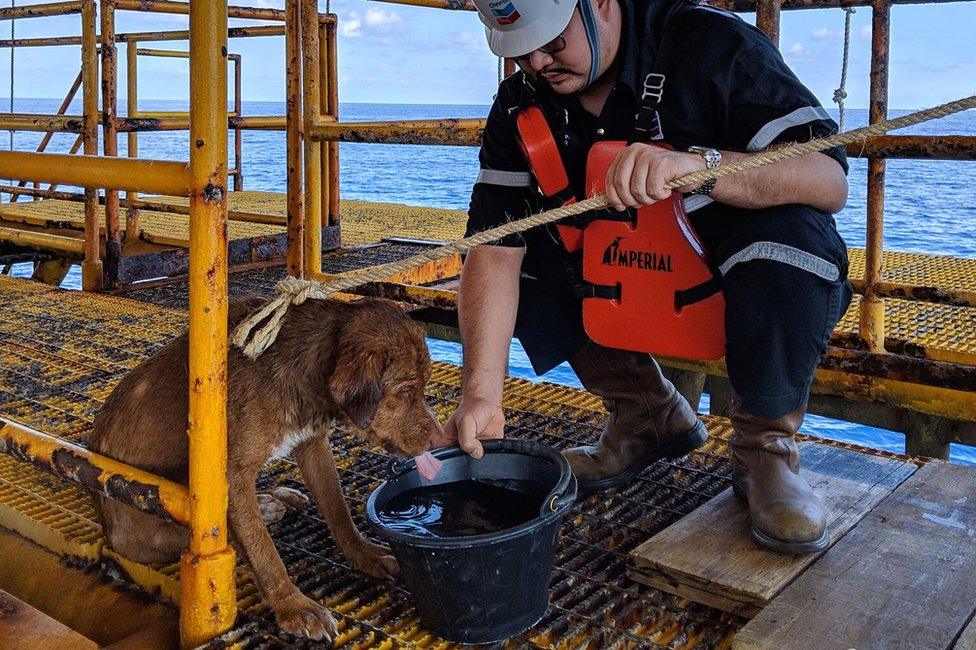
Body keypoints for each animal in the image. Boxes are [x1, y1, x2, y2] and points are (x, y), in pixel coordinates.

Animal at [91, 296, 442, 640]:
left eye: (424, 387)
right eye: (406, 391)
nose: (439, 439)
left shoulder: (312, 444)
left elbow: (338, 509)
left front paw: (363, 553)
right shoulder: (232, 475)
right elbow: (264, 552)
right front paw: (294, 608)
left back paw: (272, 500)